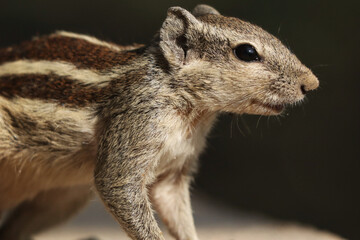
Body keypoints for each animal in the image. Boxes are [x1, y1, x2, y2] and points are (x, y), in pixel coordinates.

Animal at [0, 3, 318, 240]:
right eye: (247, 52)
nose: (311, 83)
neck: (192, 115)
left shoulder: (174, 173)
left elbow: (178, 213)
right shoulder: (133, 128)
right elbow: (119, 186)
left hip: (64, 197)